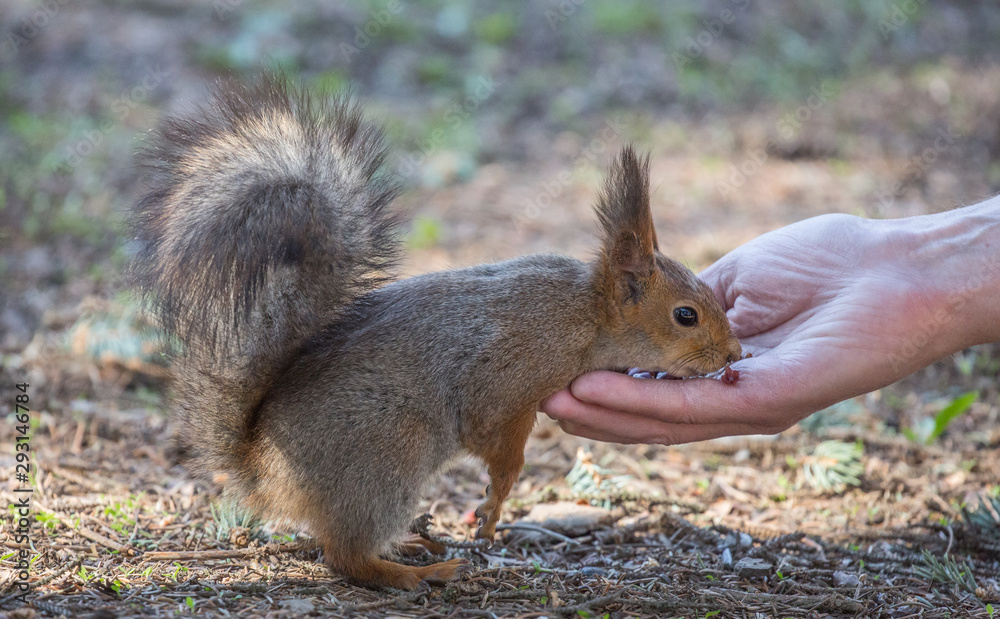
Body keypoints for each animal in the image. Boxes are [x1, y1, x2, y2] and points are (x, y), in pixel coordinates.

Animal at [129, 75, 742, 590]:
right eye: (686, 315)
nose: (734, 352)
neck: (584, 316)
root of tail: (260, 467)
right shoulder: (507, 378)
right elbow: (499, 445)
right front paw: (494, 505)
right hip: (388, 448)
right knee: (344, 555)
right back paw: (416, 573)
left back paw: (411, 547)